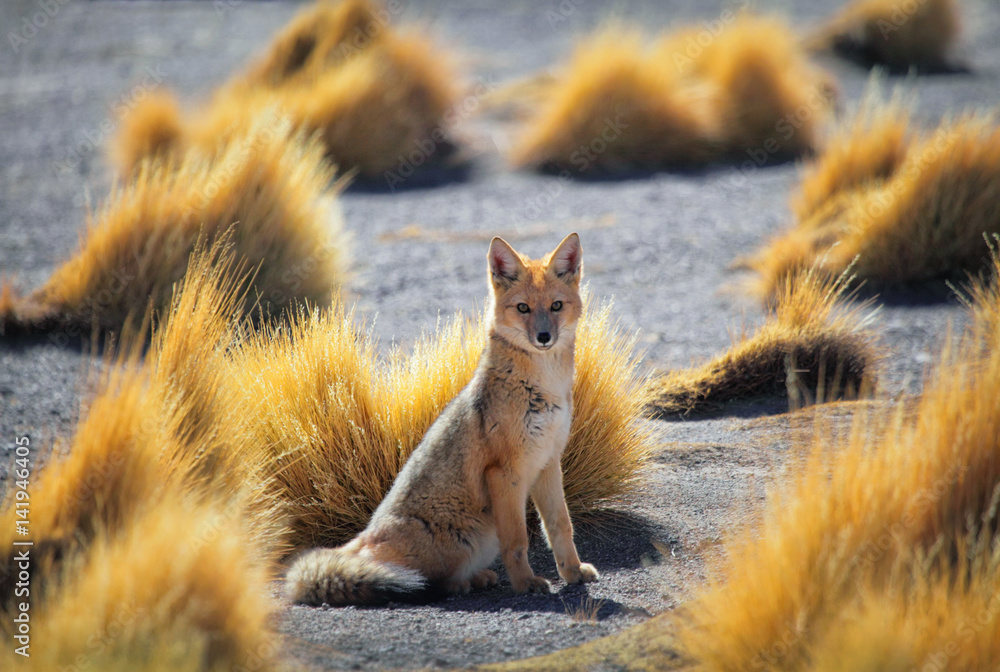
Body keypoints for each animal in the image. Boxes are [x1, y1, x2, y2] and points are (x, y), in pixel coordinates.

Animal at [285, 232, 599, 605]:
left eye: (556, 306)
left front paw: (572, 572)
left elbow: (561, 526)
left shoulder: (548, 463)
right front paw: (525, 583)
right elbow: (517, 541)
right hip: (465, 540)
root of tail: (361, 541)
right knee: (428, 581)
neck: (544, 388)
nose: (543, 338)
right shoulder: (505, 472)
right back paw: (462, 583)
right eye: (523, 308)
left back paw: (479, 577)